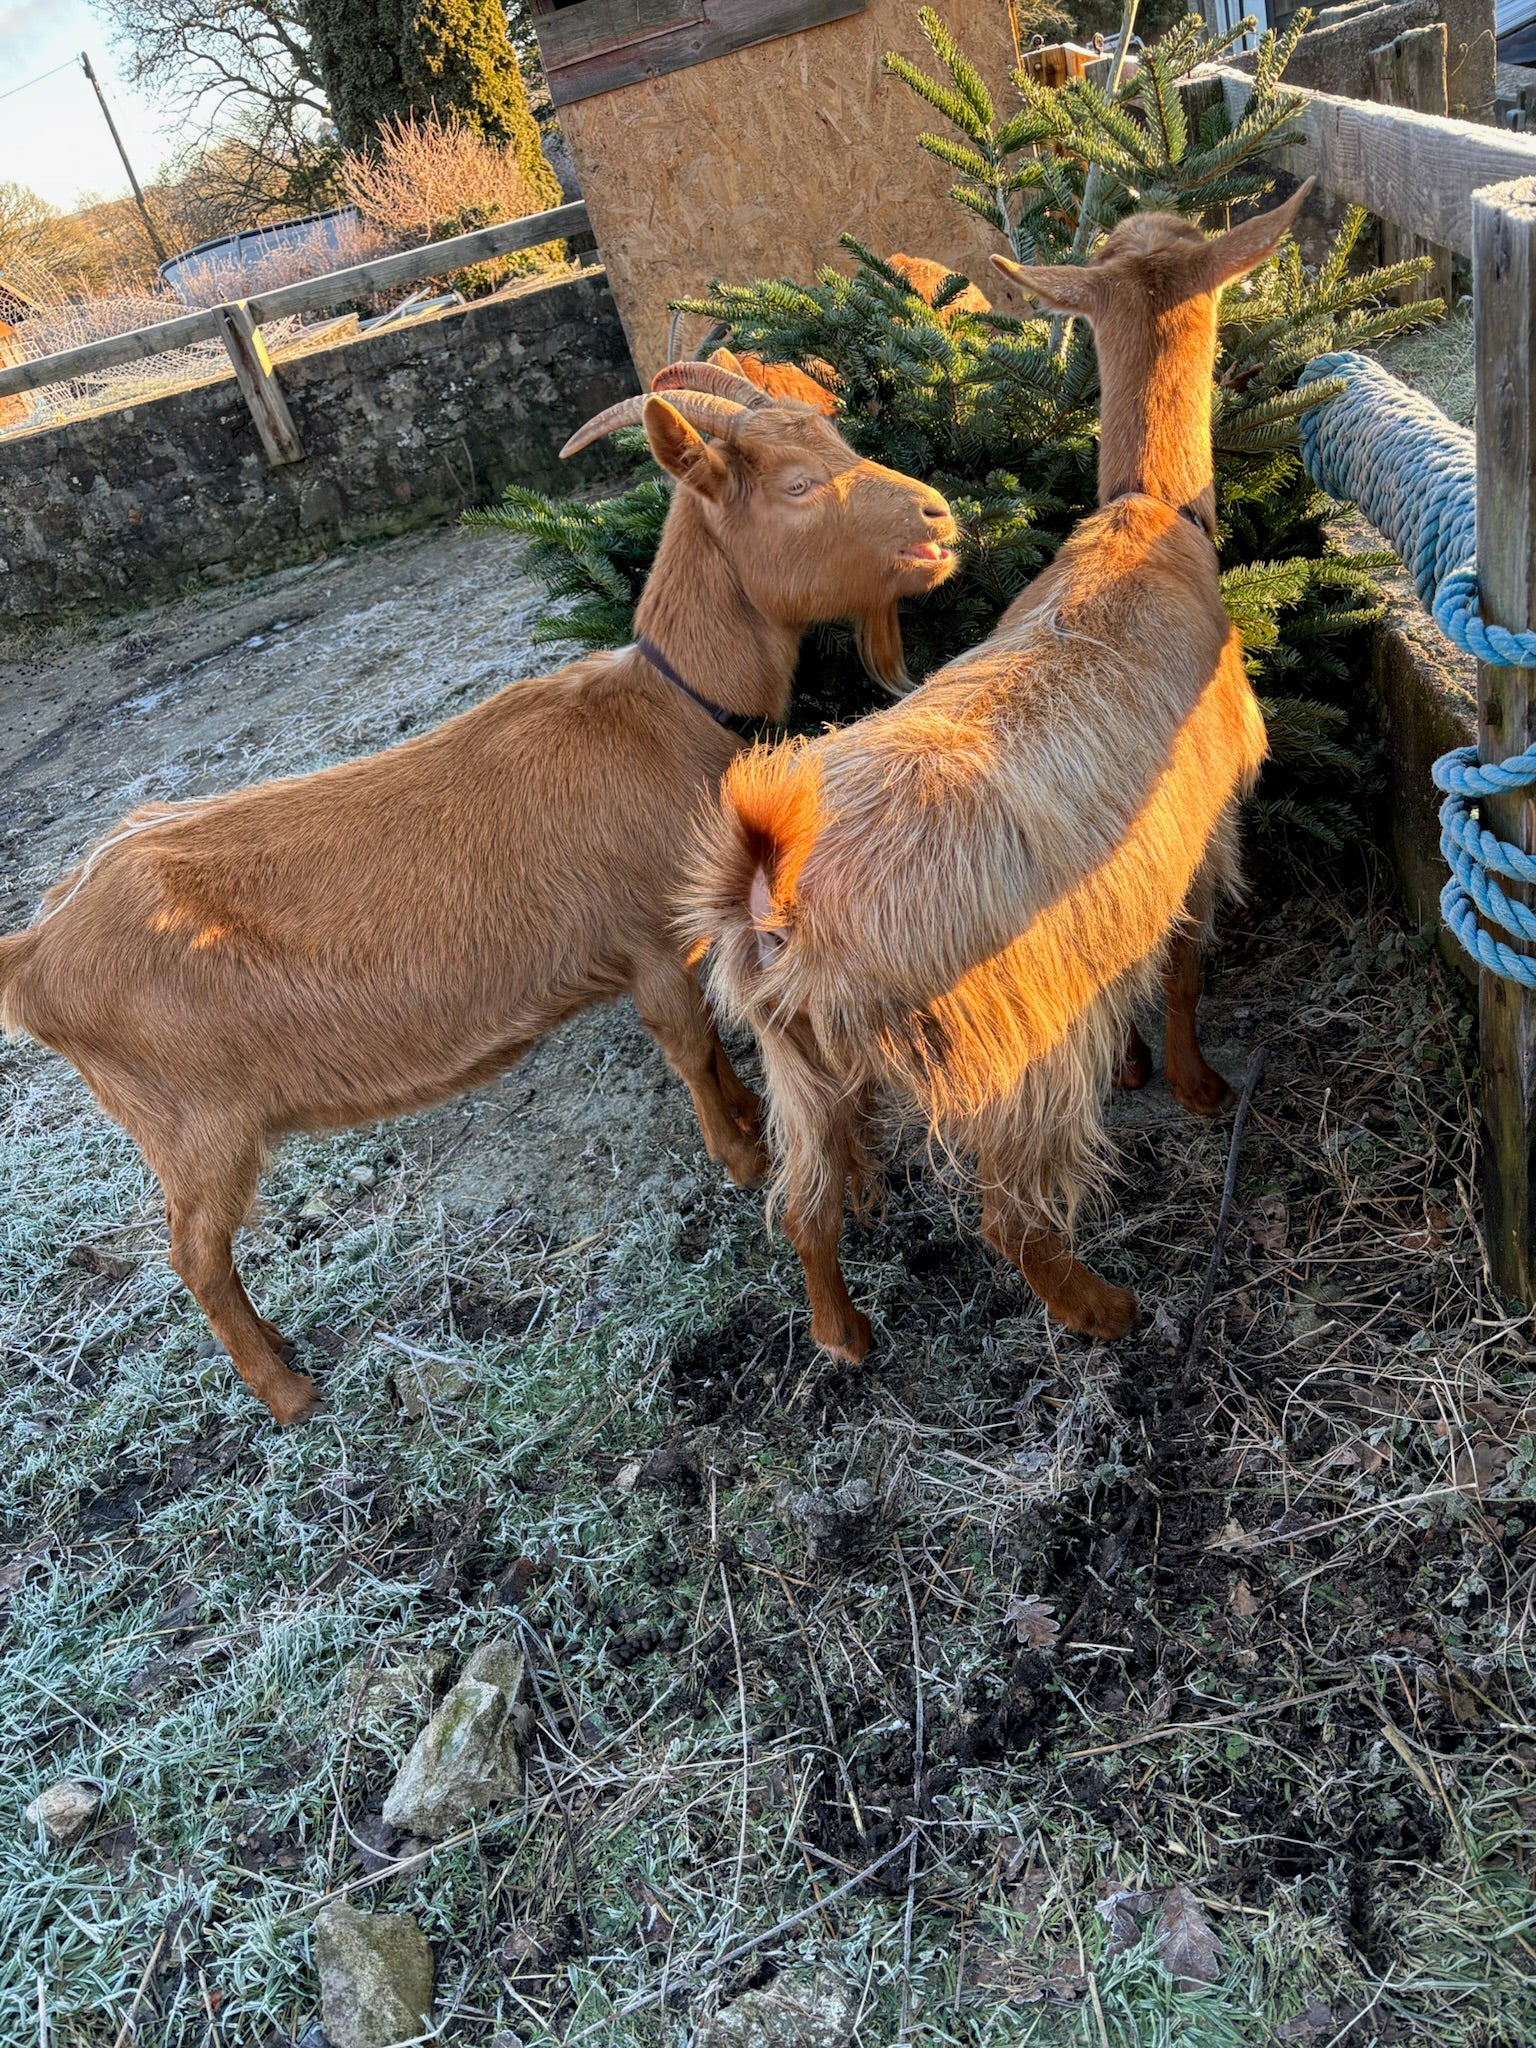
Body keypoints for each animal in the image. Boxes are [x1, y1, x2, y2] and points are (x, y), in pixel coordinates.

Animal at [0, 357, 956, 1423]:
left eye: (835, 443)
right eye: (796, 486)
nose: (940, 514)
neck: (660, 717)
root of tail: (32, 954)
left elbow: (711, 1047)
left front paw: (748, 1120)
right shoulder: (643, 942)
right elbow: (687, 1047)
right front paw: (741, 1158)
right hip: (194, 1127)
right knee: (193, 1256)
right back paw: (288, 1391)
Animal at [688, 188, 1312, 1357]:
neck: (1147, 520)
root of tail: (776, 902)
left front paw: (1139, 1066)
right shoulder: (1201, 837)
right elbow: (1185, 969)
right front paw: (1199, 1086)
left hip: (801, 1068)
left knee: (802, 1205)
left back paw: (844, 1336)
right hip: (1011, 1051)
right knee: (1008, 1216)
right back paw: (1107, 1310)